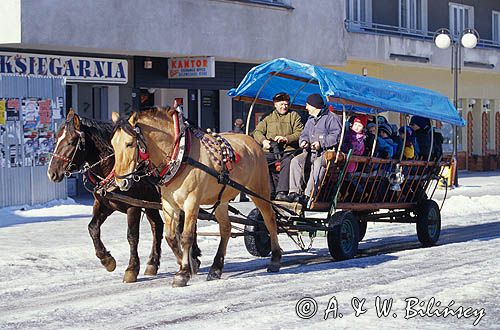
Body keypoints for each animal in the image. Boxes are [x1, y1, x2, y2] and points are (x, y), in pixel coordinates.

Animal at [47, 109, 202, 282]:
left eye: (72, 141)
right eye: (57, 138)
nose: (51, 173)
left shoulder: (133, 206)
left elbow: (132, 236)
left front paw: (131, 269)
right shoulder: (105, 204)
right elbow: (92, 228)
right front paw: (107, 260)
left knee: (186, 224)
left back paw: (193, 256)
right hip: (151, 203)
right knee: (157, 226)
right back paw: (153, 263)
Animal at [110, 107, 282, 288]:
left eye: (129, 144)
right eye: (113, 144)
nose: (120, 181)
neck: (180, 155)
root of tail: (251, 140)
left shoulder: (191, 202)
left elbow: (186, 237)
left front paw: (183, 273)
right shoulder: (169, 204)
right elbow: (171, 237)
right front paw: (188, 263)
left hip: (259, 190)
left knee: (270, 220)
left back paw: (275, 258)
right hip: (222, 199)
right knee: (226, 228)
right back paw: (216, 268)